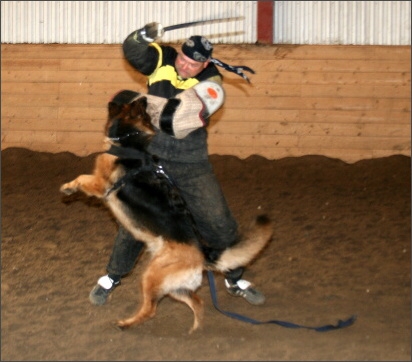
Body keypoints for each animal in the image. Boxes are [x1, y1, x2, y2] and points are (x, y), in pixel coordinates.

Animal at [60, 91, 274, 334]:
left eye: (125, 105)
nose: (113, 99)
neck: (131, 141)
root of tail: (202, 254)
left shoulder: (100, 184)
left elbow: (81, 178)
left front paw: (68, 187)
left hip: (151, 276)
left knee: (151, 309)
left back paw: (127, 323)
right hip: (175, 287)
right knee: (197, 302)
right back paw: (195, 329)